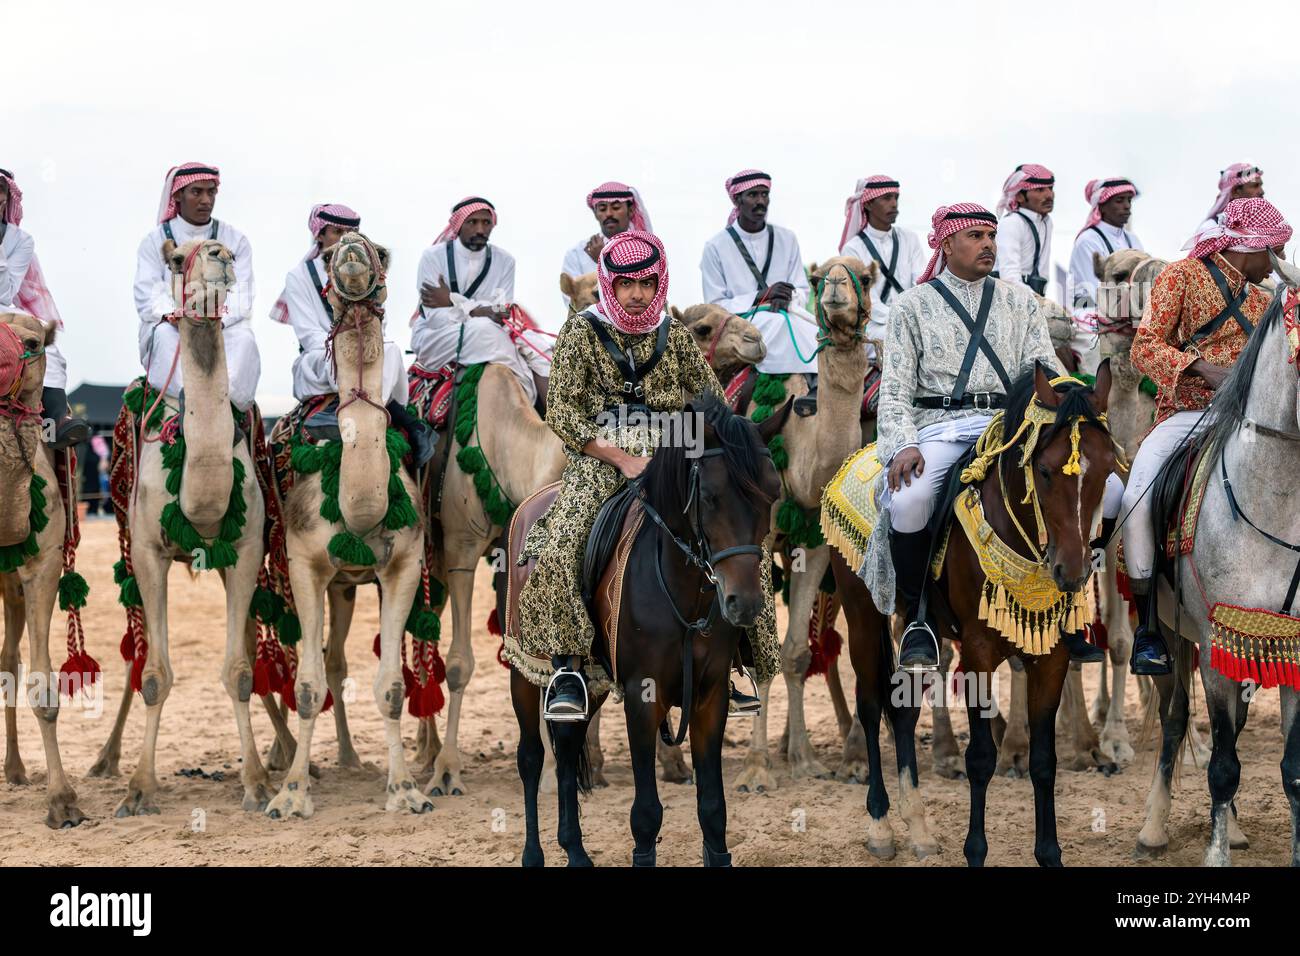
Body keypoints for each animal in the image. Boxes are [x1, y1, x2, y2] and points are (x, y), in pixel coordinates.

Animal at [105, 239, 275, 816]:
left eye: (231, 251)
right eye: (176, 260)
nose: (219, 253)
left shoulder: (244, 550)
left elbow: (240, 672)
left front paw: (257, 783)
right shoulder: (148, 553)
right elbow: (155, 675)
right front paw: (138, 789)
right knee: (134, 659)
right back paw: (103, 762)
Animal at [263, 235, 431, 816]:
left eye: (380, 250)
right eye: (333, 250)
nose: (352, 249)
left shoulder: (404, 565)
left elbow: (392, 689)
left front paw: (406, 791)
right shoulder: (304, 565)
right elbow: (307, 686)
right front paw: (291, 795)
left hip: (348, 584)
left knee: (336, 661)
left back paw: (352, 758)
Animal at [738, 254, 878, 790]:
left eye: (865, 276)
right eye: (817, 279)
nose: (836, 286)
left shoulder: (814, 540)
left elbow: (796, 649)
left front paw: (803, 759)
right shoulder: (755, 541)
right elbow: (759, 646)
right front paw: (756, 769)